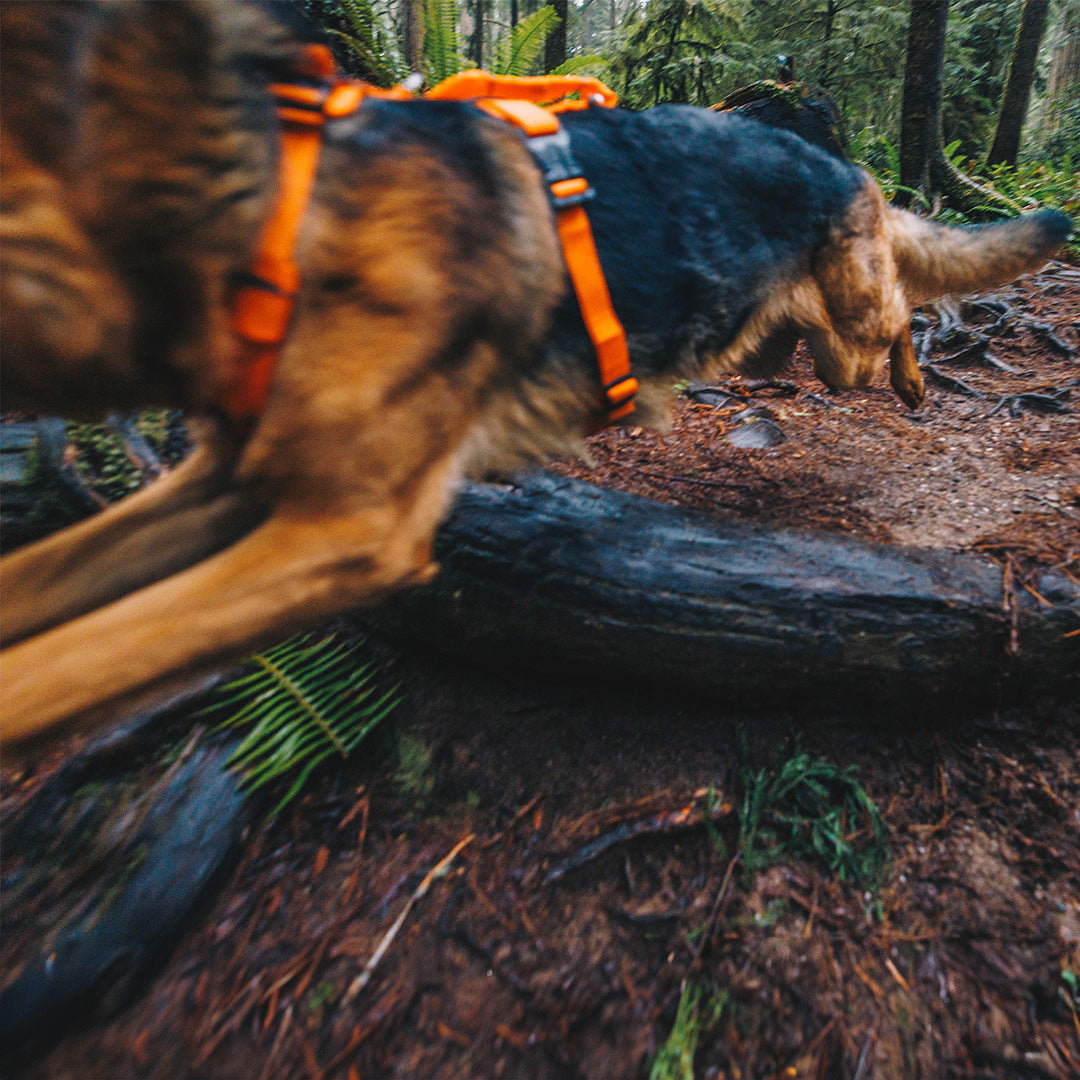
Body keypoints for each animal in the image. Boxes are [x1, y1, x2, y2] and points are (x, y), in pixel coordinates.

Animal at [2, 0, 1071, 747]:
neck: (279, 206)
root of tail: (833, 158)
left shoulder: (344, 534)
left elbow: (72, 657)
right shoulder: (225, 487)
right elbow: (44, 588)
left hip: (849, 331)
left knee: (898, 297)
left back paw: (919, 376)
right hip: (789, 344)